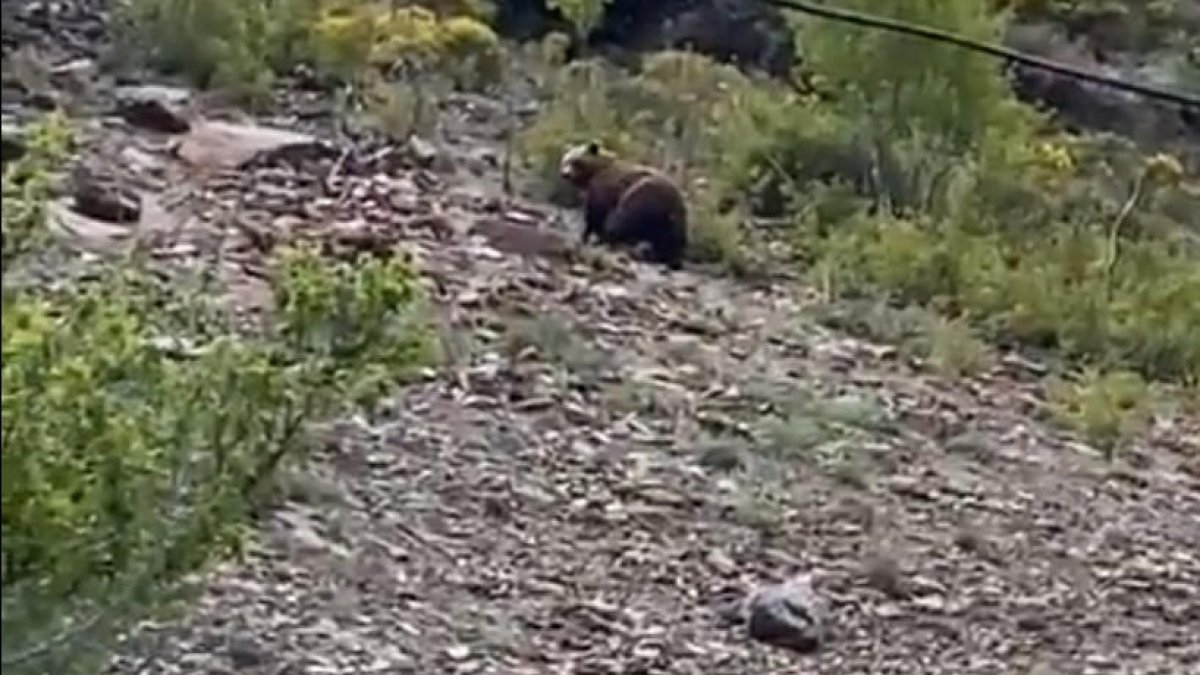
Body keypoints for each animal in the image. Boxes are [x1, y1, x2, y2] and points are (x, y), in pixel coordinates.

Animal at [558, 140, 688, 270]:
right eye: (565, 160)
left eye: (576, 161)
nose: (565, 174)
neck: (595, 171)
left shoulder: (603, 187)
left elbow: (596, 212)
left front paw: (588, 235)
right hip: (675, 219)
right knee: (670, 240)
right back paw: (666, 258)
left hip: (643, 195)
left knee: (622, 219)